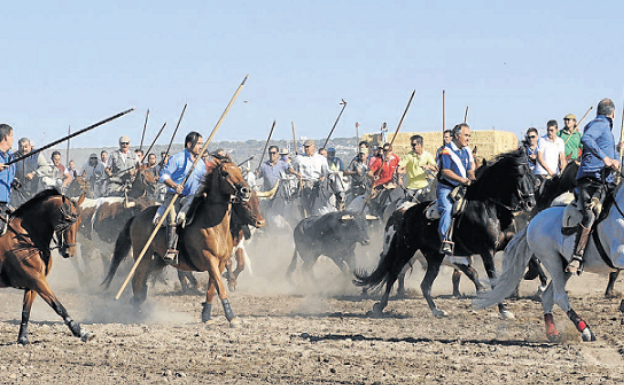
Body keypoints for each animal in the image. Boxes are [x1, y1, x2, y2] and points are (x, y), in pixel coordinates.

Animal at [0, 190, 92, 344]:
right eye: (66, 219)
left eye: (78, 220)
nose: (69, 251)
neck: (26, 238)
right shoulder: (37, 280)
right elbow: (58, 306)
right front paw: (80, 331)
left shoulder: (33, 283)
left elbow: (26, 311)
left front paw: (22, 339)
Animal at [103, 158, 264, 326]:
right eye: (225, 173)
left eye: (239, 172)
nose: (245, 191)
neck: (213, 224)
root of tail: (137, 217)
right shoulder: (209, 259)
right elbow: (220, 286)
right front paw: (232, 317)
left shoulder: (220, 262)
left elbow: (212, 288)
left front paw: (206, 315)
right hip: (142, 255)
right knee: (137, 278)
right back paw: (137, 311)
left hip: (160, 260)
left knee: (145, 276)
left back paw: (140, 298)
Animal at [356, 148, 536, 316]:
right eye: (519, 174)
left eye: (531, 174)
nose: (530, 203)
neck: (490, 208)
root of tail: (405, 212)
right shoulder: (486, 251)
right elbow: (492, 278)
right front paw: (503, 310)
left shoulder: (508, 243)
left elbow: (530, 255)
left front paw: (531, 273)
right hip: (405, 250)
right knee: (393, 274)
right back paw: (380, 306)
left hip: (434, 256)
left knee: (425, 284)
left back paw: (436, 310)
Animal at [472, 182, 624, 340]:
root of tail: (533, 221)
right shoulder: (618, 256)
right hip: (552, 260)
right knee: (559, 297)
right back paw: (586, 331)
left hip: (564, 267)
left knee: (547, 296)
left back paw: (552, 332)